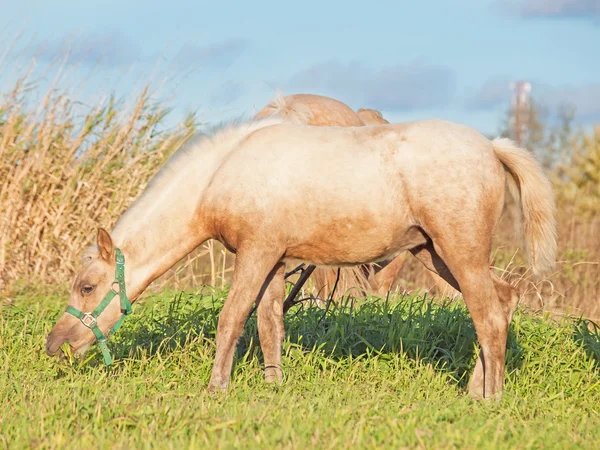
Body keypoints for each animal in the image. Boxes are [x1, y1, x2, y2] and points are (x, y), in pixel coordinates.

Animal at [47, 117, 556, 400]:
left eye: (87, 286)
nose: (55, 345)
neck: (222, 172)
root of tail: (491, 146)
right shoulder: (274, 259)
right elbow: (269, 322)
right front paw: (273, 385)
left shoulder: (256, 252)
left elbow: (232, 317)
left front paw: (216, 388)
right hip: (435, 254)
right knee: (503, 302)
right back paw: (475, 390)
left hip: (459, 251)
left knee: (489, 316)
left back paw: (491, 399)